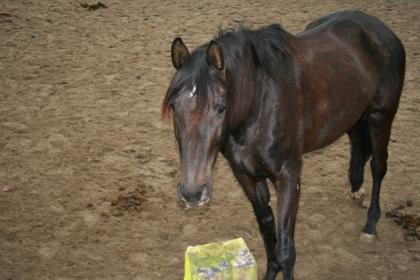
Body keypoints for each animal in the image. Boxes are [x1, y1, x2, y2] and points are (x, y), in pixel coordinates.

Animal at [162, 9, 406, 278]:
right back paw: (355, 186)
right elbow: (268, 230)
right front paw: (271, 271)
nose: (192, 193)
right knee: (357, 142)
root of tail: (379, 29)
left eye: (221, 107)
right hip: (352, 112)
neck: (259, 106)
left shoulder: (288, 177)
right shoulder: (247, 176)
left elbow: (286, 249)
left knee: (379, 166)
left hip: (381, 117)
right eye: (175, 107)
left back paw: (371, 224)